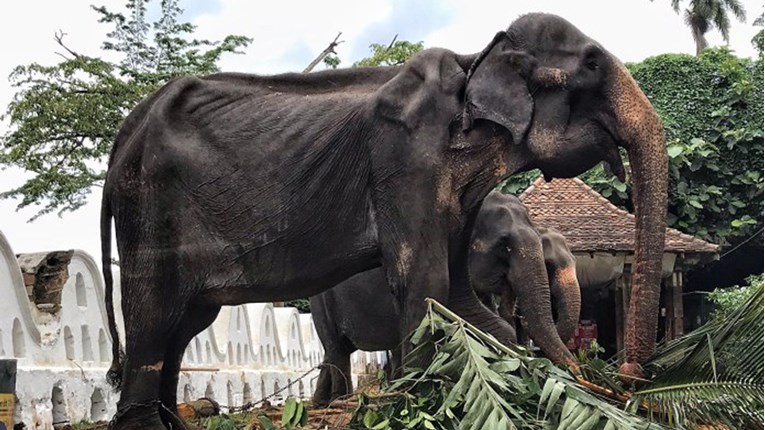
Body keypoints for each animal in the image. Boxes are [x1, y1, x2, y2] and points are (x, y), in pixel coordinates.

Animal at [308, 191, 580, 406]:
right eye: (505, 246)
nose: (578, 373)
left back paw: (323, 402)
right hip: (320, 302)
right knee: (337, 349)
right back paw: (342, 402)